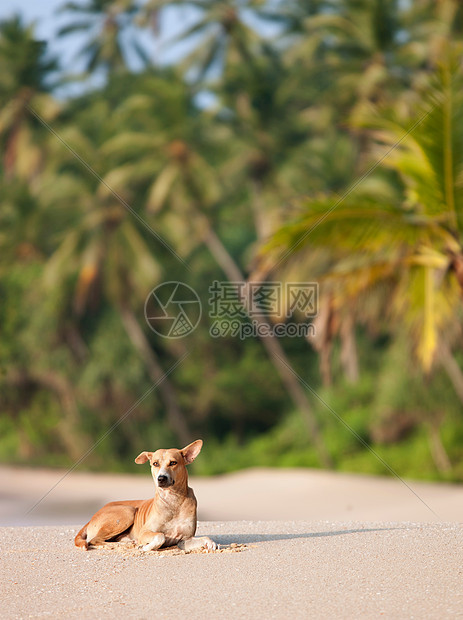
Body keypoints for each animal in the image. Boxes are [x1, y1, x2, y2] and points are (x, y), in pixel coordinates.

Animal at [75, 440, 218, 552]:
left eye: (173, 463)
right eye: (155, 463)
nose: (161, 478)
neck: (173, 500)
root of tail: (91, 518)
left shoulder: (184, 540)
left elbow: (205, 538)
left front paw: (211, 543)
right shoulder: (145, 532)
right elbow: (160, 536)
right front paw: (145, 547)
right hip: (128, 511)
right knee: (94, 540)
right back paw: (122, 545)